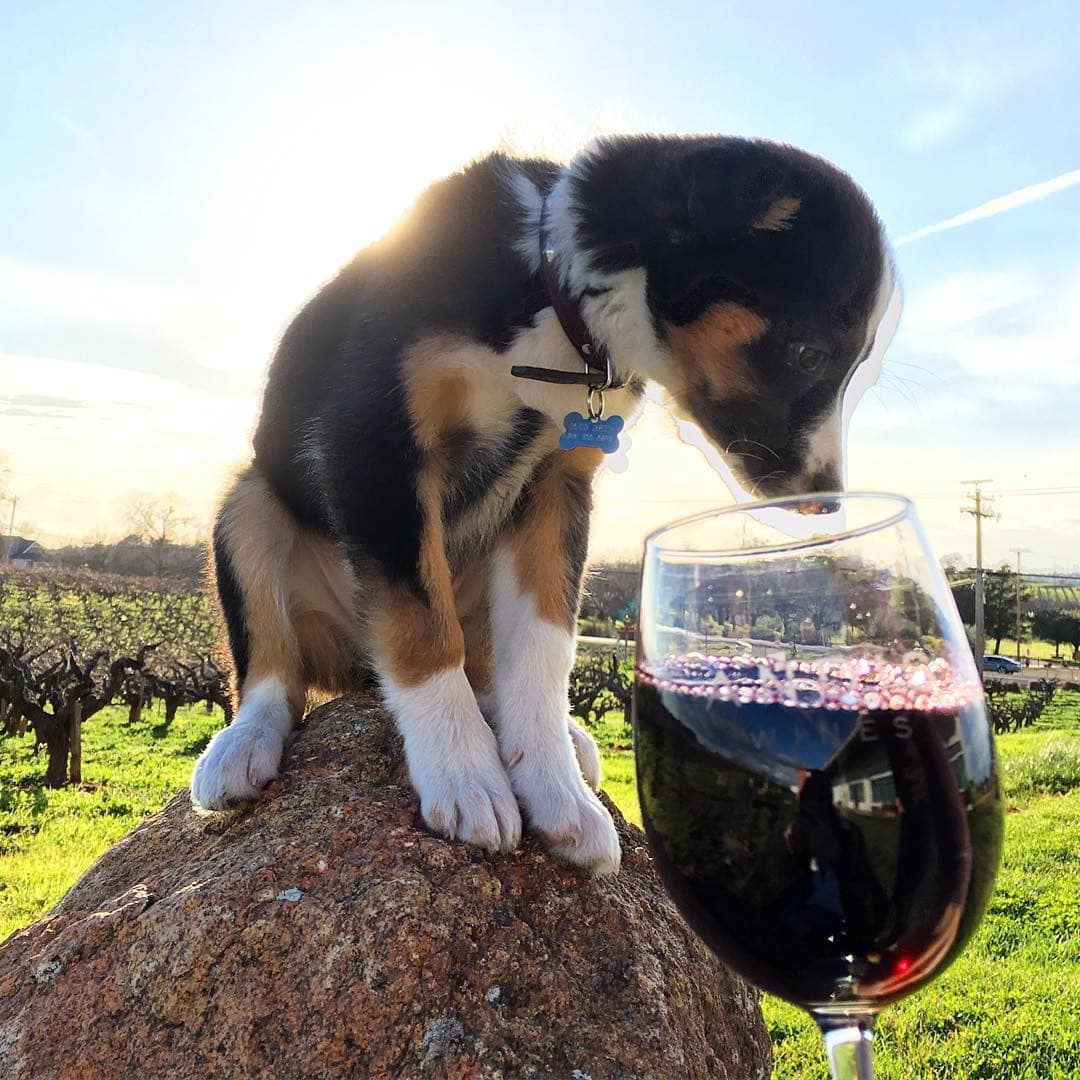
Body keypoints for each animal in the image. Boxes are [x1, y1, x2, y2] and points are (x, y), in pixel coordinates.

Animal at [187, 135, 894, 876]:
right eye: (809, 352)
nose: (828, 503)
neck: (551, 297)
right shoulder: (374, 449)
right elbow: (422, 628)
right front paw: (465, 779)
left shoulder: (556, 484)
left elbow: (545, 644)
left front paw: (560, 794)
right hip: (250, 504)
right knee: (273, 672)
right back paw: (241, 748)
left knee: (483, 664)